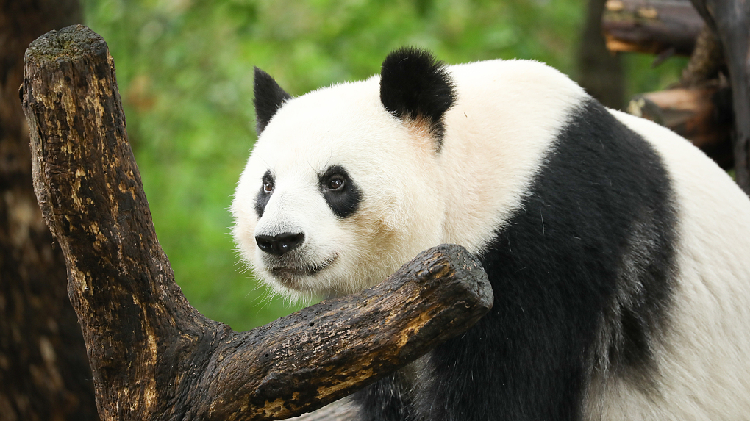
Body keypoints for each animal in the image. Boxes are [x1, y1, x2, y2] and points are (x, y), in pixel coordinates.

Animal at [231, 47, 750, 418]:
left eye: (335, 182)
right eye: (267, 185)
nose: (280, 241)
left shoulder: (552, 235)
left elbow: (508, 389)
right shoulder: (375, 327)